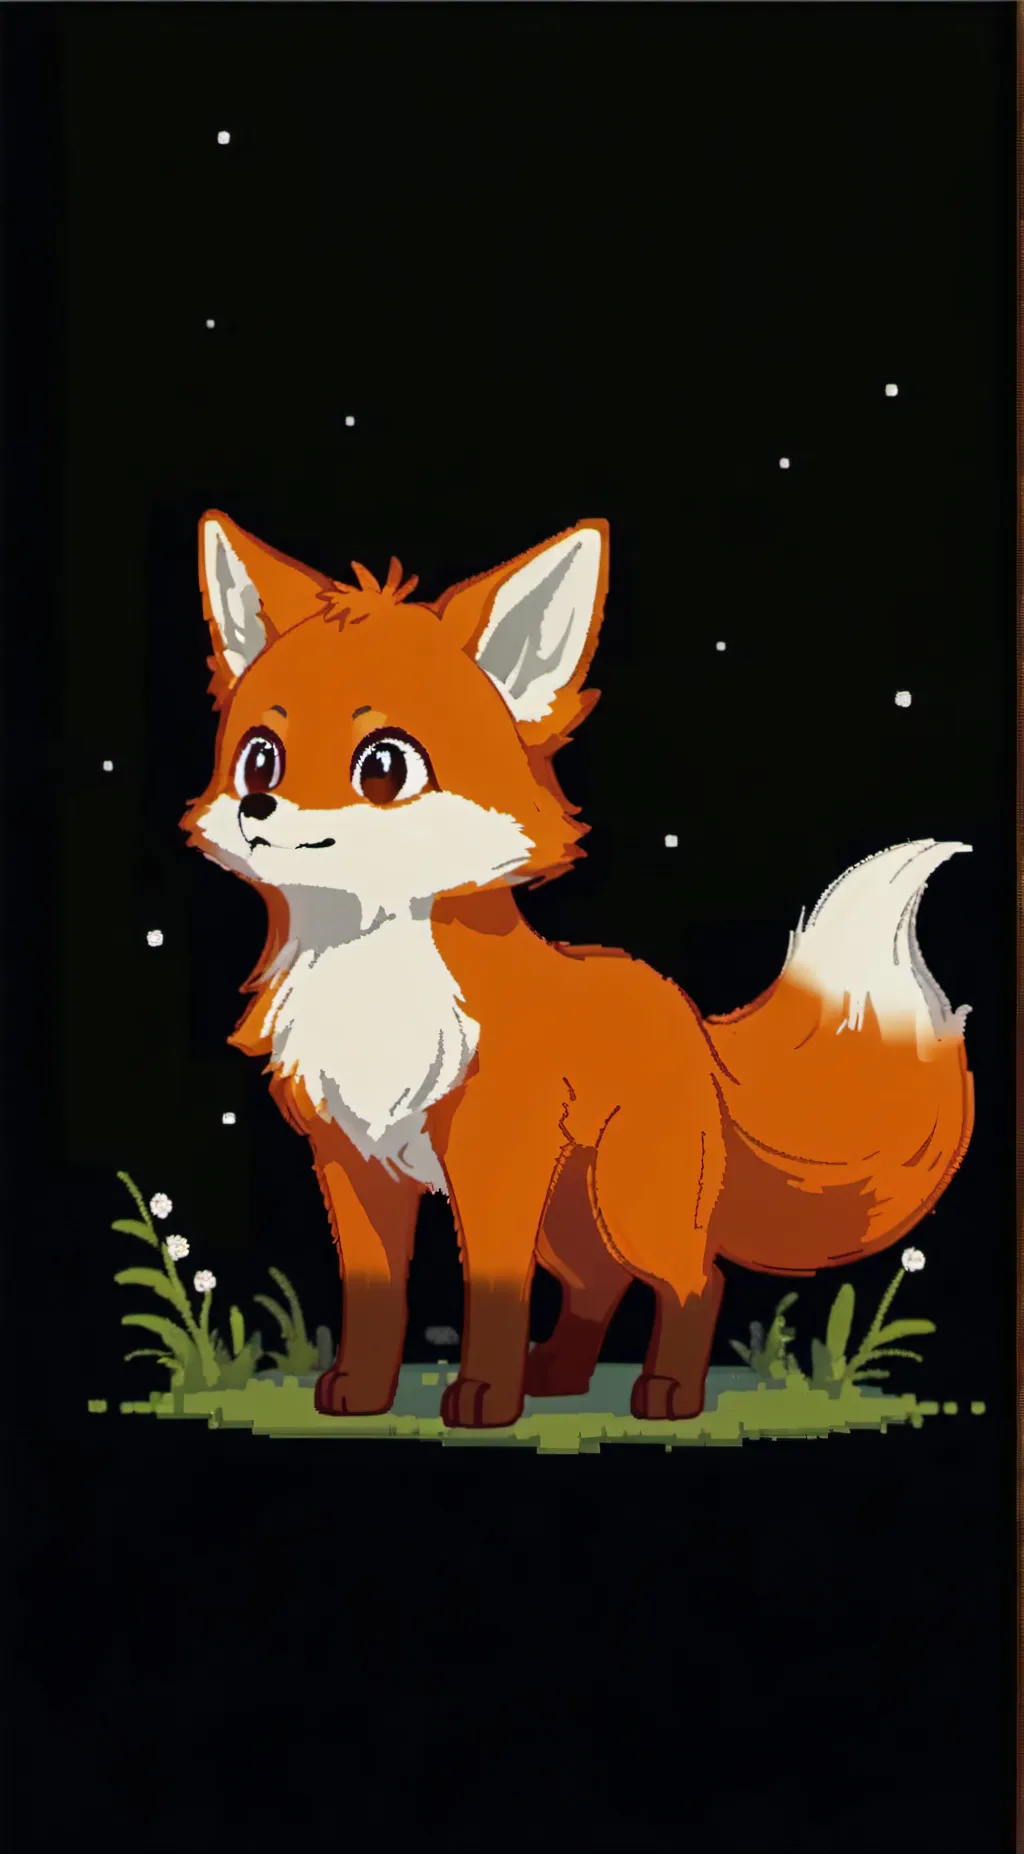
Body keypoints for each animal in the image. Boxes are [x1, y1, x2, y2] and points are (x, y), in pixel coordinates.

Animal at [180, 511, 974, 1429]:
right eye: (259, 759)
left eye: (382, 767)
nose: (258, 808)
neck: (376, 984)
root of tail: (687, 1016)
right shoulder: (354, 1160)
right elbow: (375, 1295)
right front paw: (362, 1392)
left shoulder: (493, 1156)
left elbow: (493, 1289)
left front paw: (485, 1398)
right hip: (573, 1214)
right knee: (599, 1283)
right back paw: (557, 1373)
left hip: (630, 1199)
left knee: (696, 1279)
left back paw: (667, 1394)